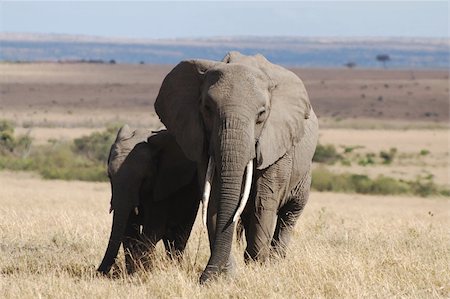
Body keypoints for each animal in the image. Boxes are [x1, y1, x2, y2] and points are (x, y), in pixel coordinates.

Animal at [97, 125, 200, 276]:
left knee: (180, 233)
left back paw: (175, 267)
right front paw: (133, 273)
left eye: (144, 179)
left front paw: (142, 273)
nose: (98, 272)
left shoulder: (161, 183)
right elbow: (128, 229)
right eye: (109, 176)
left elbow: (153, 229)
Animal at [156, 51, 318, 284]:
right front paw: (226, 275)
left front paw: (257, 269)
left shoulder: (277, 143)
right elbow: (214, 198)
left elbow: (263, 200)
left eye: (262, 114)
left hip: (303, 175)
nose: (203, 279)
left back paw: (275, 261)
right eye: (207, 108)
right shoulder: (201, 140)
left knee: (289, 215)